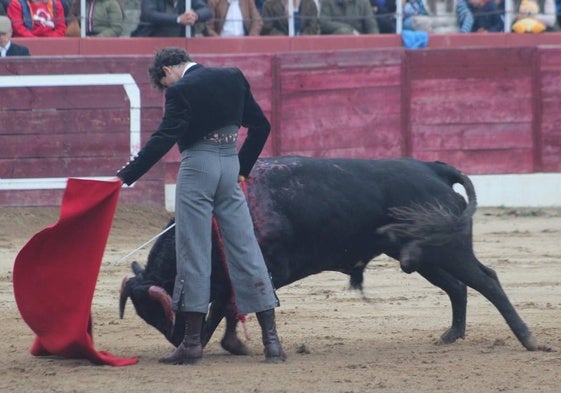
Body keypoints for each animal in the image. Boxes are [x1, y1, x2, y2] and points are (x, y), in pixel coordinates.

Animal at [120, 155, 540, 350]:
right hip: (423, 258)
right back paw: (451, 335)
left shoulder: (263, 270)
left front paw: (208, 344)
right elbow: (225, 305)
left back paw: (527, 339)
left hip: (449, 250)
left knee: (487, 280)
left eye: (159, 309)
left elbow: (226, 305)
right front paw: (216, 343)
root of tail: (433, 169)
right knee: (457, 287)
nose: (174, 338)